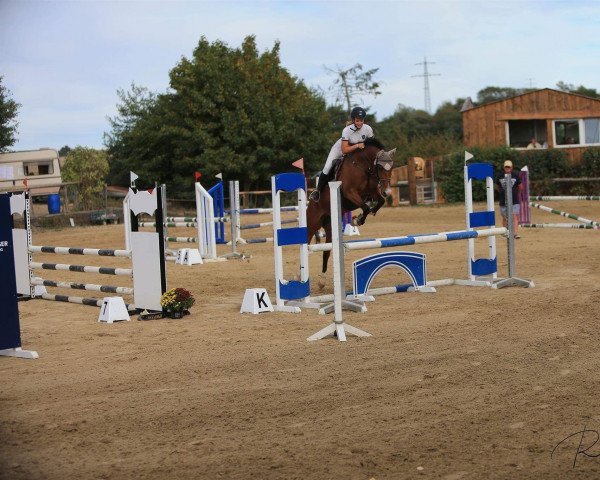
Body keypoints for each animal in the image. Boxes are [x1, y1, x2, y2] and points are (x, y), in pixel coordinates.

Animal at [308, 138, 396, 288]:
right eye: (380, 167)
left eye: (391, 168)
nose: (387, 192)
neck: (364, 167)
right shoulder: (350, 193)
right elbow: (365, 207)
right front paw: (357, 219)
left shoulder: (371, 193)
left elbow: (378, 202)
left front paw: (360, 217)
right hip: (313, 222)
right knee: (305, 244)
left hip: (330, 227)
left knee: (327, 251)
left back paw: (322, 280)